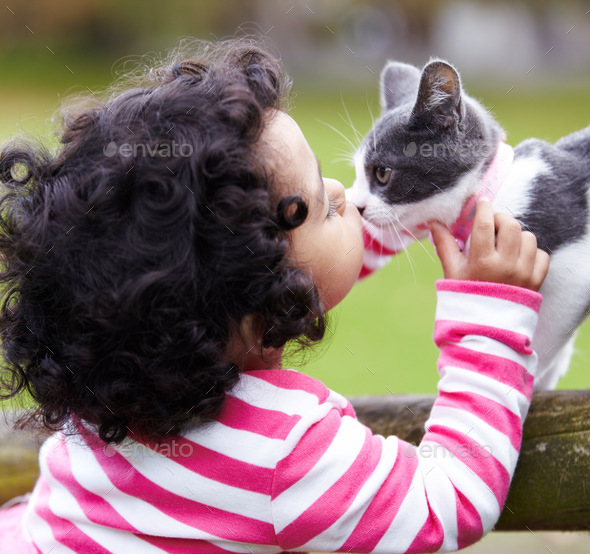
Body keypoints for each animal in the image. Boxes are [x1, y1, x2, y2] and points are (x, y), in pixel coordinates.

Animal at [350, 59, 590, 388]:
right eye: (357, 174)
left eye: (382, 173)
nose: (356, 206)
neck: (490, 194)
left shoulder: (574, 275)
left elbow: (548, 333)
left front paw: (529, 377)